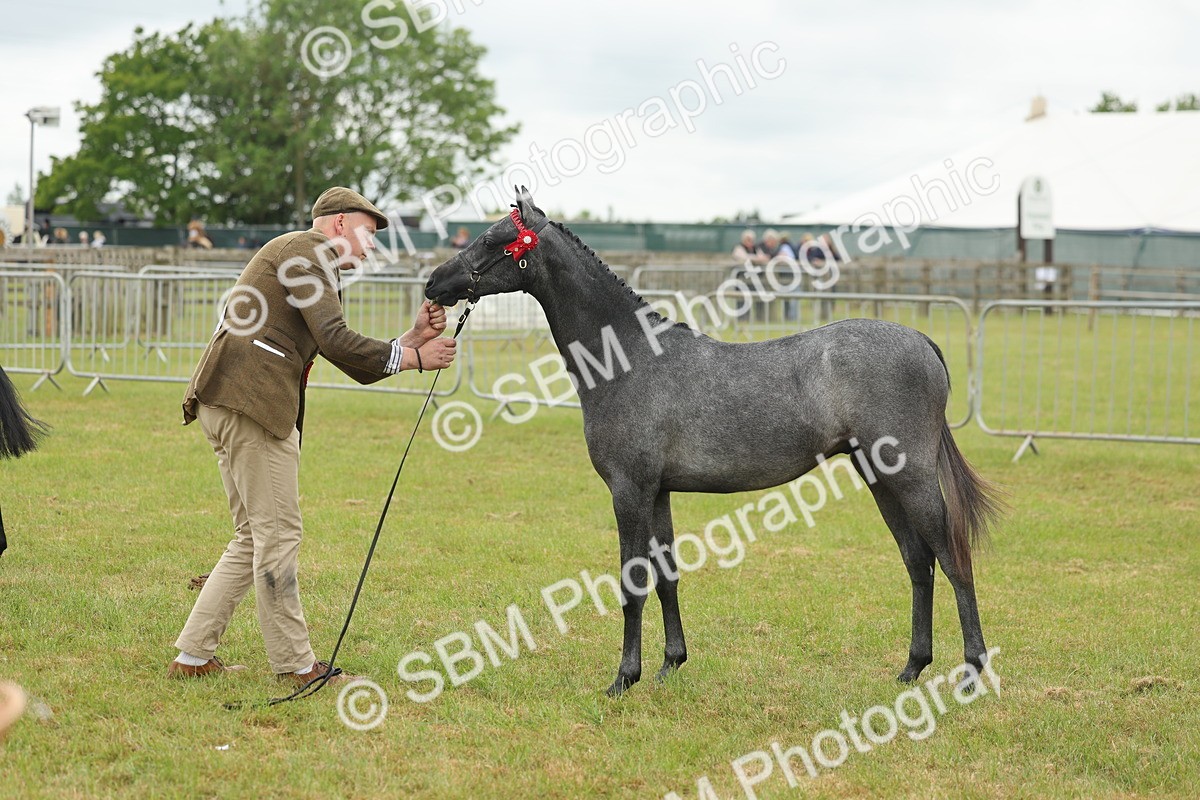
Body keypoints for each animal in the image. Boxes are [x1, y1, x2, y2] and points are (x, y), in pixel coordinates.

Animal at [425, 187, 1004, 697]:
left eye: (491, 239)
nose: (433, 283)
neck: (630, 357)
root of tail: (922, 342)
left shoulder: (629, 491)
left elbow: (632, 583)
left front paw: (624, 679)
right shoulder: (657, 492)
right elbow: (666, 576)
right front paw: (669, 665)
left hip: (910, 476)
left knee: (953, 559)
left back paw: (972, 673)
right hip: (880, 477)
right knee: (918, 562)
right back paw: (912, 668)